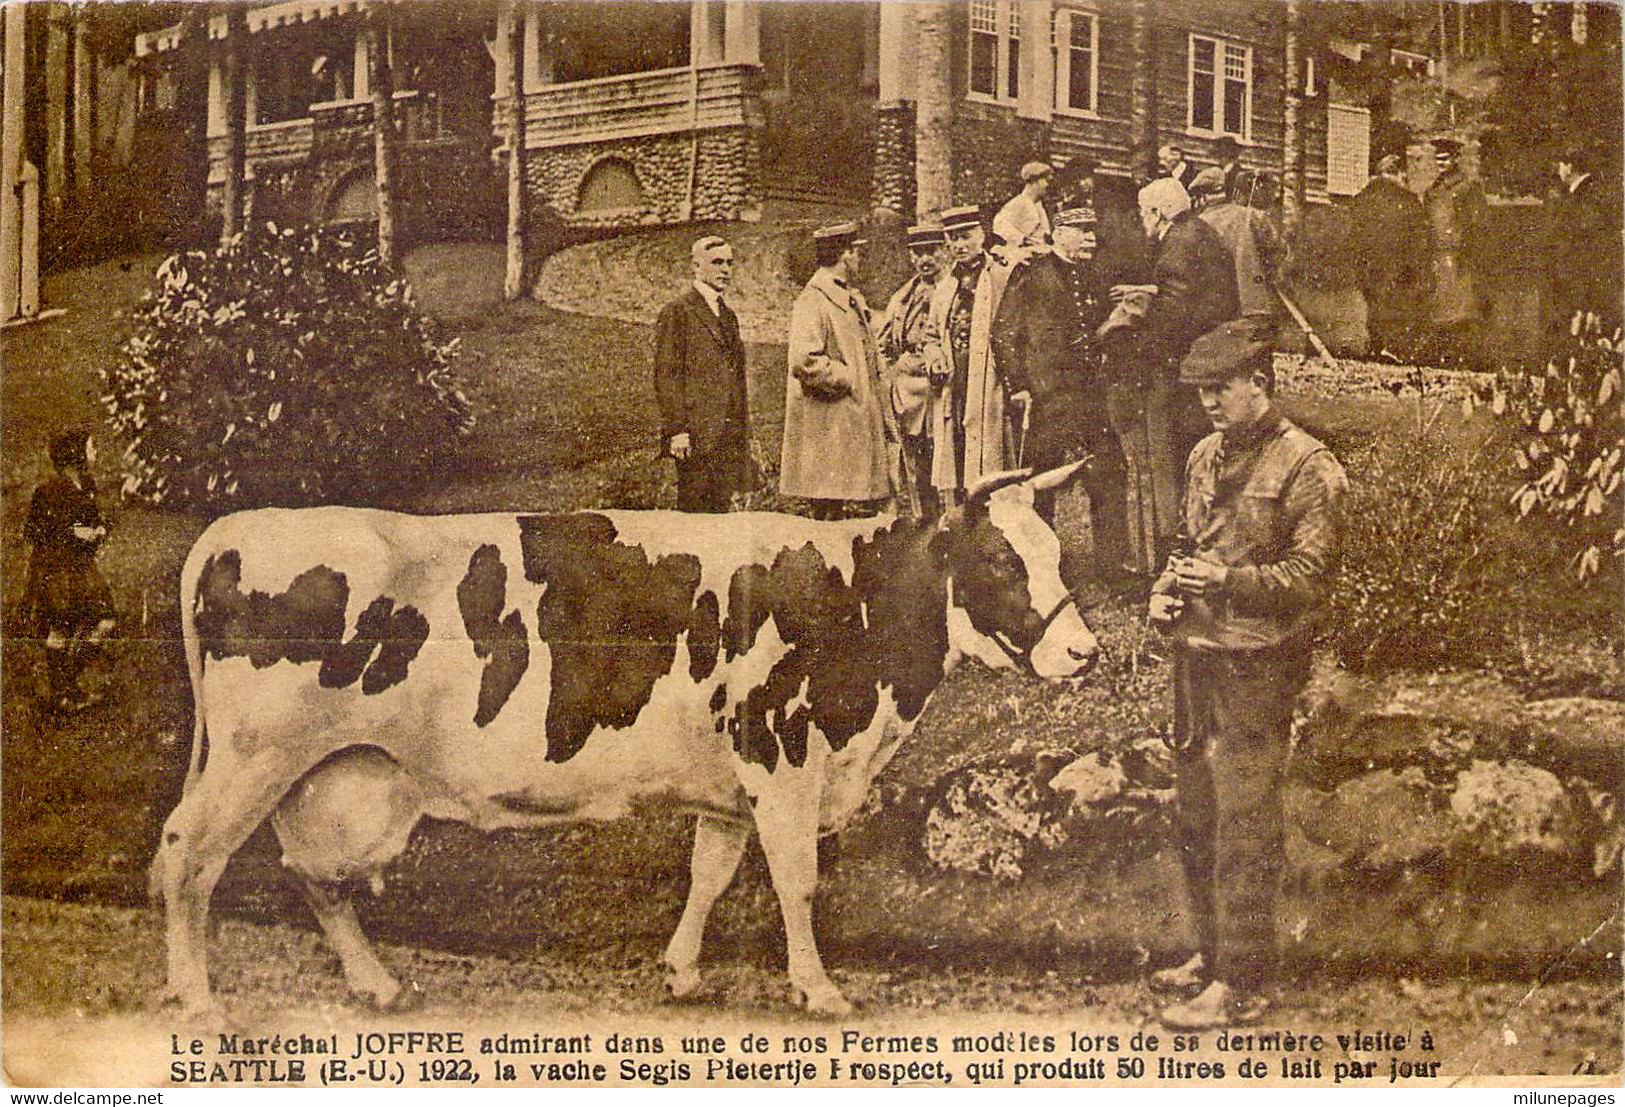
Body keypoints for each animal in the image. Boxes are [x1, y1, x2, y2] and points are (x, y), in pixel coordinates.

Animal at [152, 461, 1098, 1014]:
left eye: (1055, 553)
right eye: (1002, 560)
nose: (1083, 650)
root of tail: (232, 530)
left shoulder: (732, 782)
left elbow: (710, 875)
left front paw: (681, 971)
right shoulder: (785, 757)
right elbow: (795, 882)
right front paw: (818, 987)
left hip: (332, 770)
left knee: (315, 874)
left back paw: (377, 982)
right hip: (255, 757)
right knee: (187, 854)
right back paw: (198, 999)